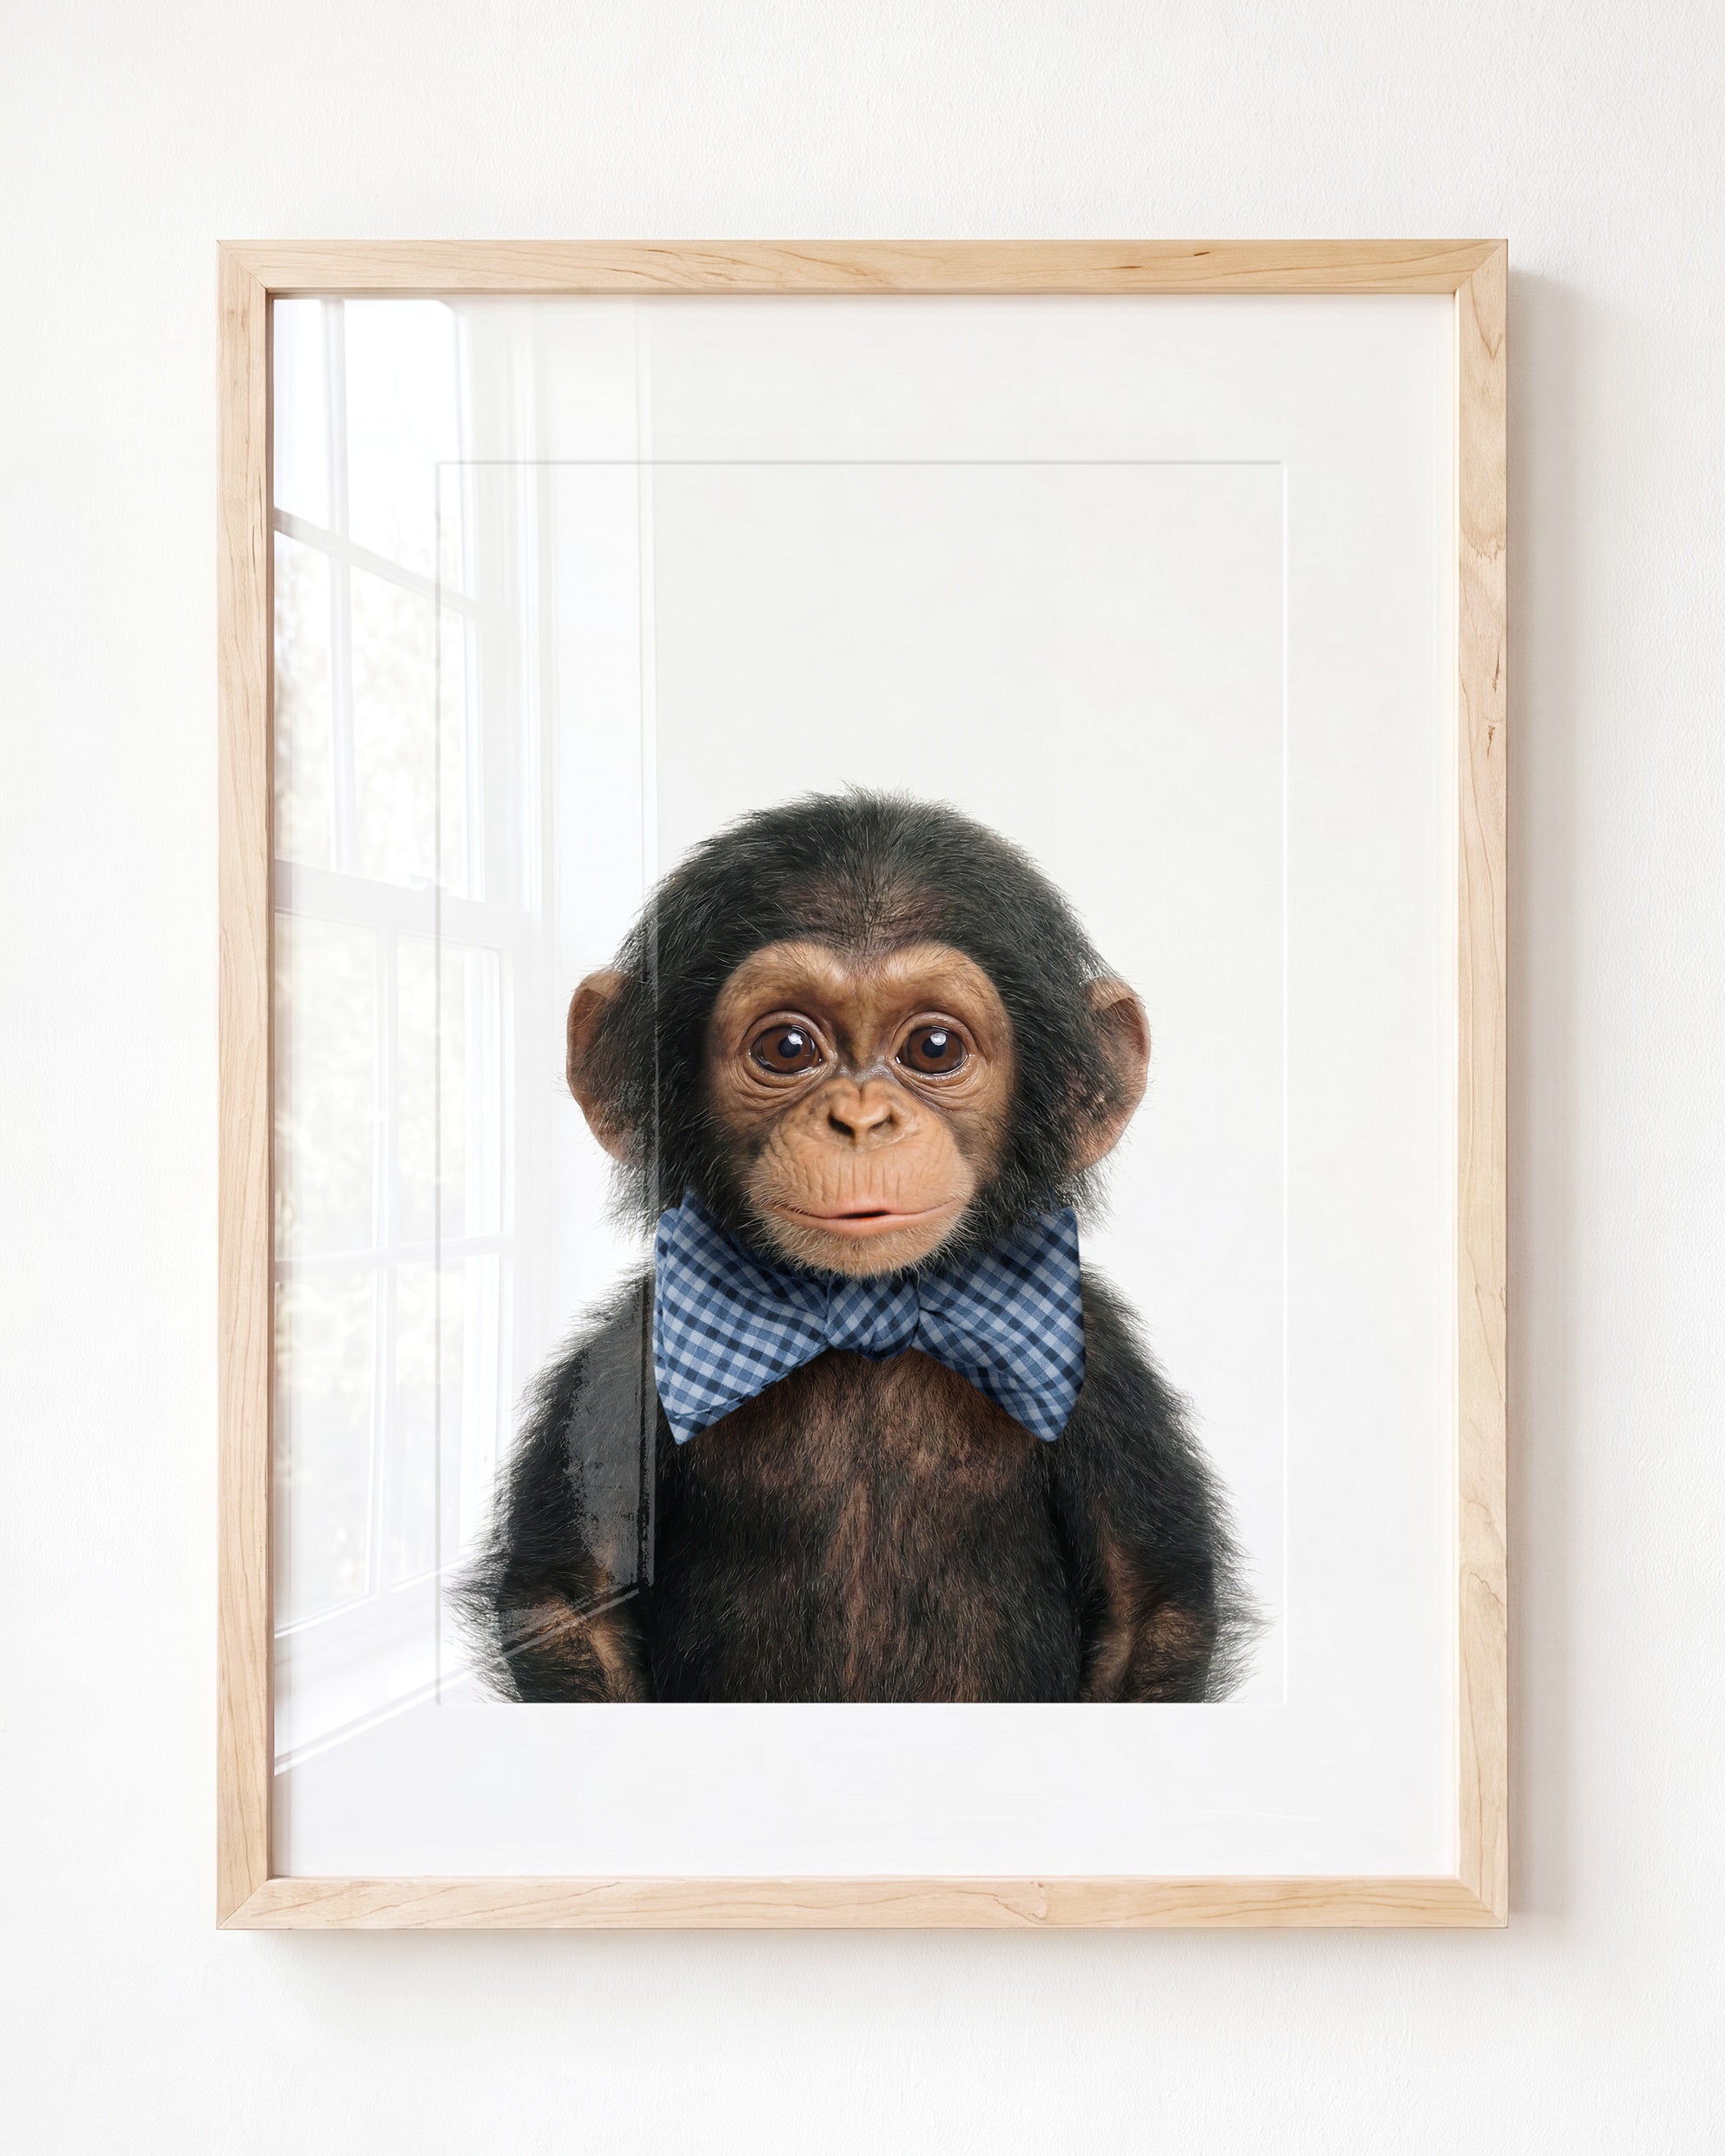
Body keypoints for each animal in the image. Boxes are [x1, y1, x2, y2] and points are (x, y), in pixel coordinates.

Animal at [458, 791, 1255, 1703]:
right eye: (787, 1047)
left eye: (934, 1048)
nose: (862, 1120)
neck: (864, 1314)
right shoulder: (627, 1355)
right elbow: (571, 1601)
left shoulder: (1103, 1368)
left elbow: (1148, 1608)